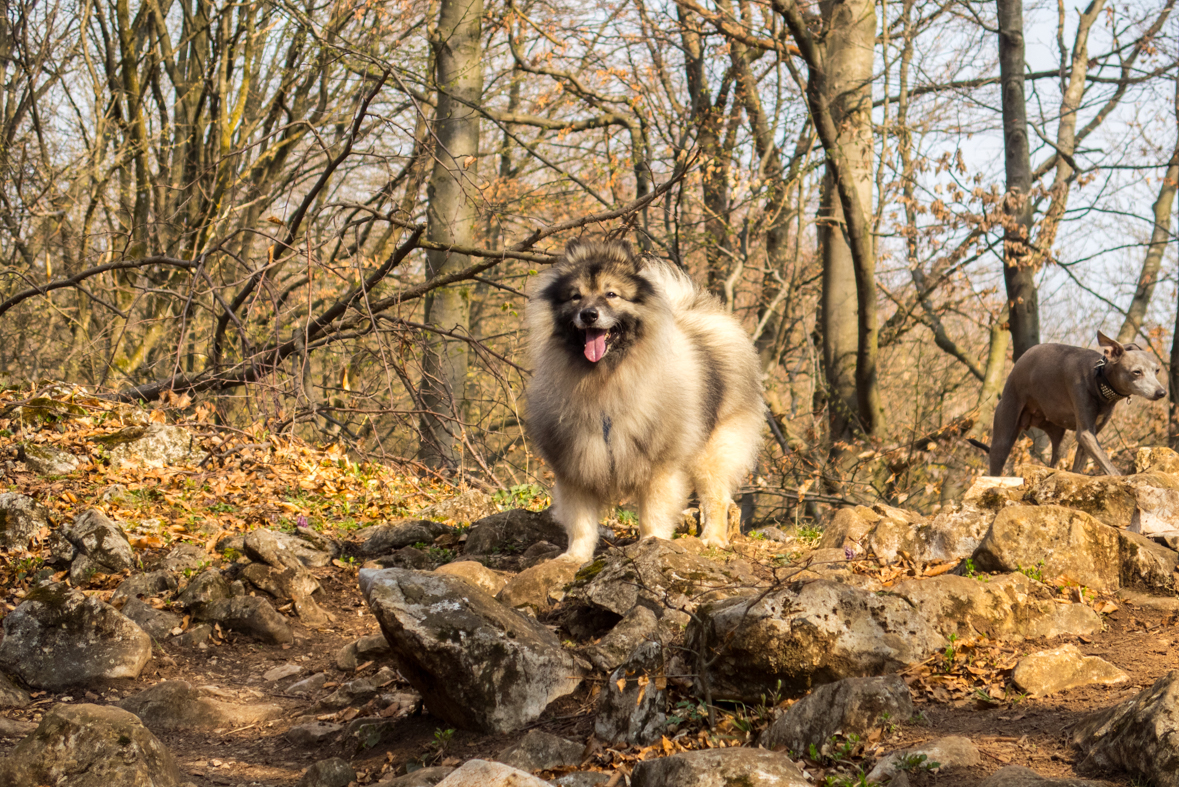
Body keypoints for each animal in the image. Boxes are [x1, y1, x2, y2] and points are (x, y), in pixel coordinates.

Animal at [525, 236, 763, 563]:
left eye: (611, 294)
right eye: (575, 297)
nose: (589, 314)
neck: (605, 381)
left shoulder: (658, 465)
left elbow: (654, 513)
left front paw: (652, 544)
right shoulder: (577, 464)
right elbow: (581, 522)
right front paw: (575, 557)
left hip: (713, 449)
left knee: (716, 497)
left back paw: (713, 539)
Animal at [990, 329, 1164, 475]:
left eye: (1157, 371)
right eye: (1136, 372)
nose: (1161, 392)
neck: (1097, 380)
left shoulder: (1090, 436)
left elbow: (1078, 469)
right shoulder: (1086, 434)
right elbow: (1110, 468)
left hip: (1061, 438)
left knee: (1054, 462)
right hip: (1004, 436)